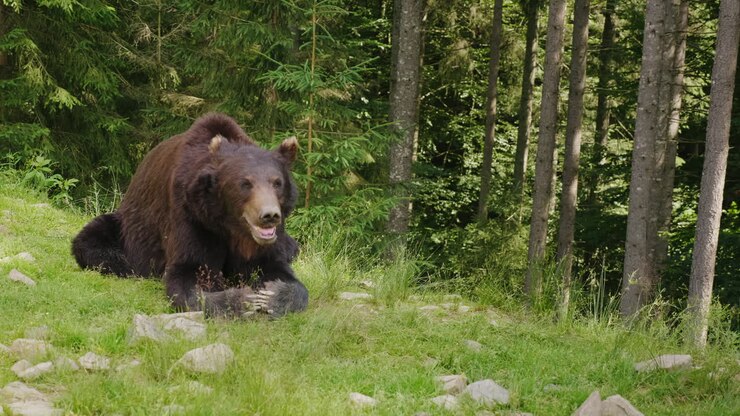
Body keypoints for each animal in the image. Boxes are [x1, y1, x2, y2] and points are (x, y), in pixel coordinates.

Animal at [71, 113, 308, 318]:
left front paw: (269, 295)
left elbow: (278, 270)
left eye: (277, 182)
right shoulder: (191, 218)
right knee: (96, 242)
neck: (229, 227)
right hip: (123, 228)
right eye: (245, 183)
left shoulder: (264, 243)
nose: (269, 215)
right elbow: (190, 272)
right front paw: (243, 300)